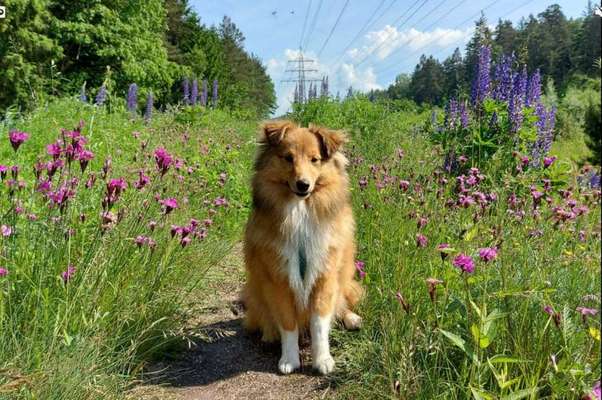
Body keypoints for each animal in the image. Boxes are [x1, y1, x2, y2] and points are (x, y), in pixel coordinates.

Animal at [241, 119, 364, 376]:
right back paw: (269, 335)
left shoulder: (325, 275)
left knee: (341, 302)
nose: (303, 184)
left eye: (314, 159)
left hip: (346, 279)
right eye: (288, 158)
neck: (300, 212)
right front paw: (289, 359)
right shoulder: (279, 279)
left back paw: (351, 318)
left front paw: (323, 359)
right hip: (253, 289)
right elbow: (287, 323)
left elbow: (320, 322)